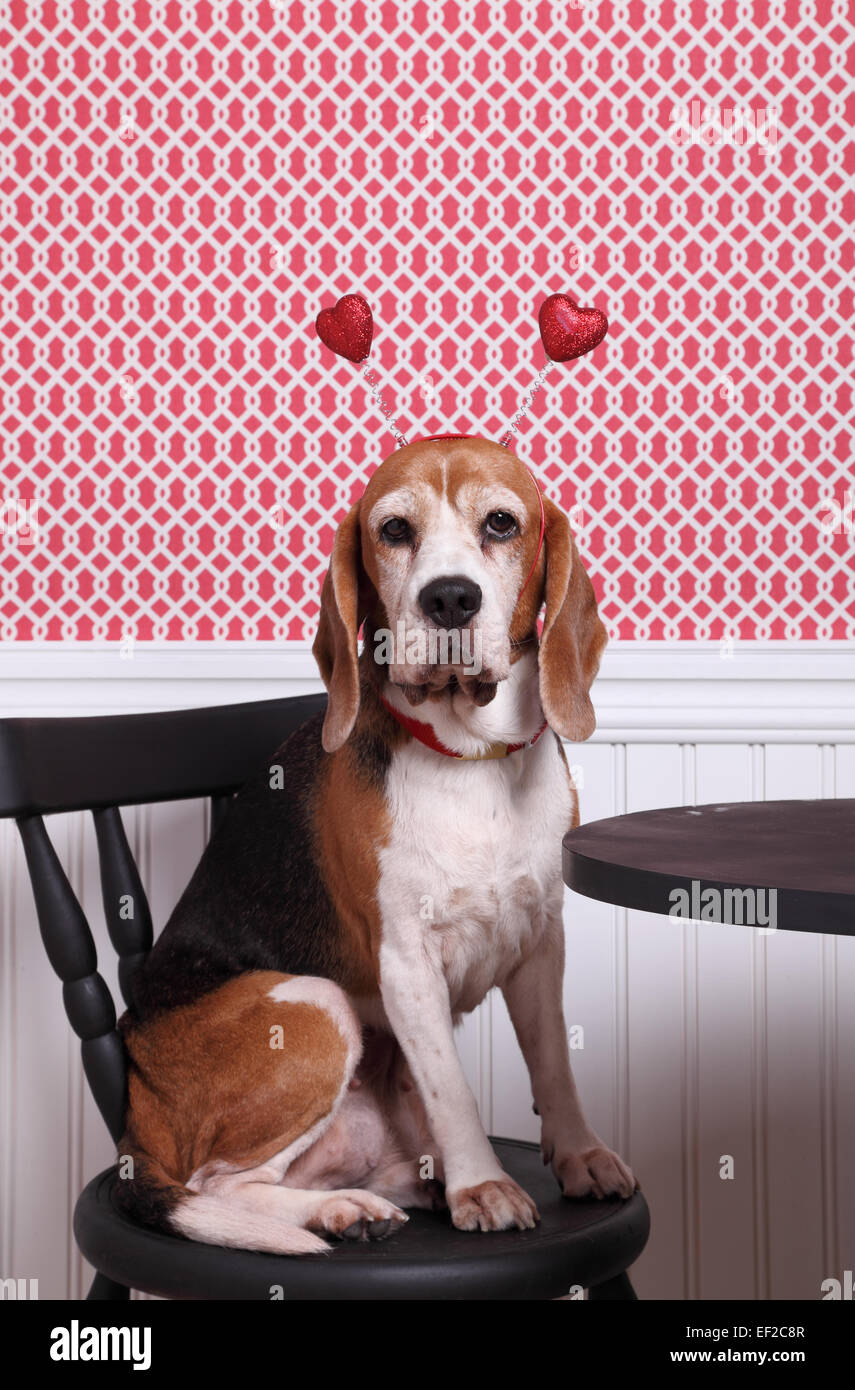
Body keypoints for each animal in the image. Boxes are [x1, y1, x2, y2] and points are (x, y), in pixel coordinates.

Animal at [120, 439, 639, 1256]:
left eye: (501, 522)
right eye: (394, 531)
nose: (450, 599)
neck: (470, 763)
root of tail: (132, 1117)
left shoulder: (538, 943)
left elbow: (553, 1061)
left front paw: (579, 1155)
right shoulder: (407, 964)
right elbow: (452, 1089)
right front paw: (483, 1187)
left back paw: (384, 1193)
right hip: (315, 1006)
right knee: (215, 1185)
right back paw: (342, 1212)